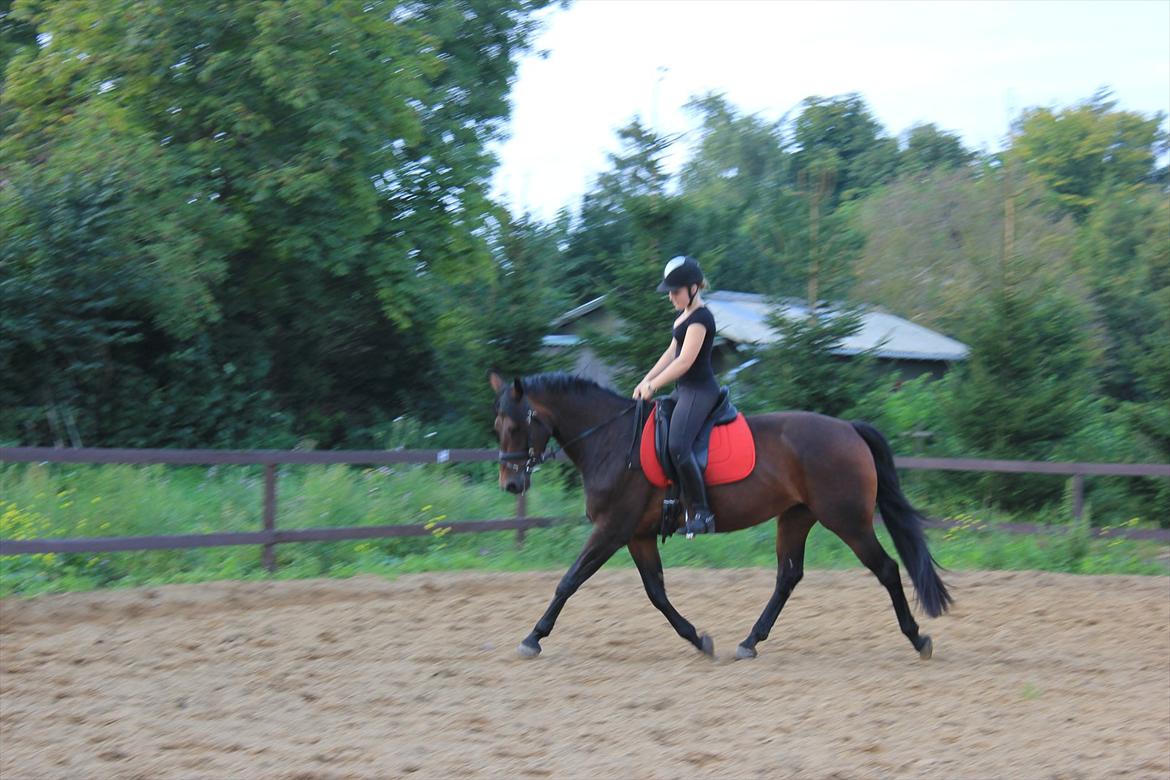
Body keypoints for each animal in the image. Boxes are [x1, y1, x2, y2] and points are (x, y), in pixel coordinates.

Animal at [486, 371, 950, 659]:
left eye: (516, 425)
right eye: (497, 426)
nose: (511, 485)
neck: (611, 439)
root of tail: (849, 429)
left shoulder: (612, 529)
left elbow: (569, 581)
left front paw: (533, 637)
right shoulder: (636, 535)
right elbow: (656, 592)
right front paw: (697, 639)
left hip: (847, 521)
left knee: (887, 569)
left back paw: (918, 638)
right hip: (796, 517)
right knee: (788, 576)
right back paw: (750, 641)